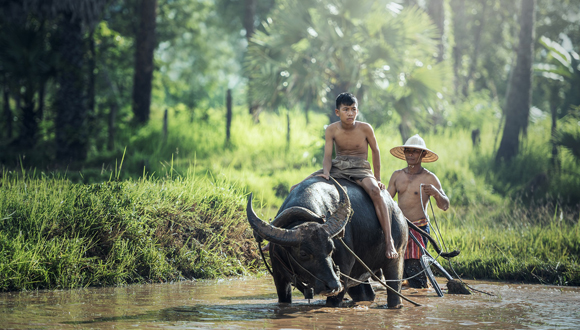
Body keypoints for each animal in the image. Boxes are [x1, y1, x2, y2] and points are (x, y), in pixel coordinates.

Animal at [248, 177, 408, 308]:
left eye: (331, 248)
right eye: (303, 253)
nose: (333, 285)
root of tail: (397, 210)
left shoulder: (343, 273)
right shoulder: (279, 278)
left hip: (397, 257)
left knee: (394, 290)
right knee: (366, 294)